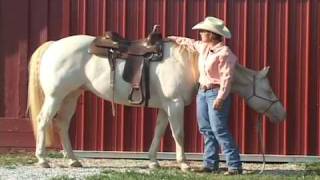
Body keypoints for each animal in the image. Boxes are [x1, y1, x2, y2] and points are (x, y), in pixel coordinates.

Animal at [28, 34, 286, 170]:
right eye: (268, 88)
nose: (281, 114)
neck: (189, 63)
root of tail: (54, 45)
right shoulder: (175, 104)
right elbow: (178, 133)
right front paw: (184, 164)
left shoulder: (165, 107)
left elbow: (159, 132)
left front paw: (153, 162)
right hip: (56, 96)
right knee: (43, 121)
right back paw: (42, 159)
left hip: (71, 96)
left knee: (62, 124)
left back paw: (73, 160)